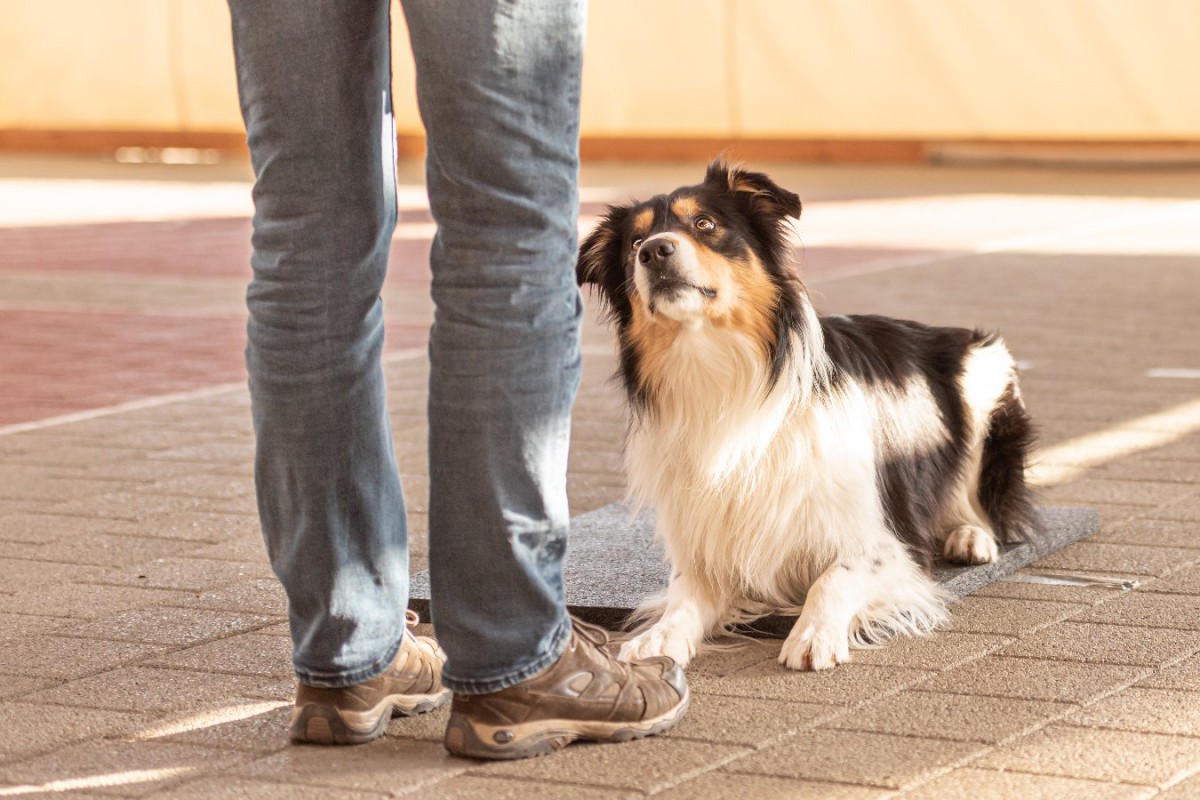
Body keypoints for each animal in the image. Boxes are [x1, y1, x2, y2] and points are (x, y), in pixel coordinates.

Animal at [576, 160, 1036, 671]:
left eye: (704, 223)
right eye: (634, 242)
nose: (654, 251)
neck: (719, 372)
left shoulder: (884, 542)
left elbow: (833, 577)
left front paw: (814, 632)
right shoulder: (707, 547)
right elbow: (684, 597)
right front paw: (659, 636)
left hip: (984, 372)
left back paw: (971, 535)